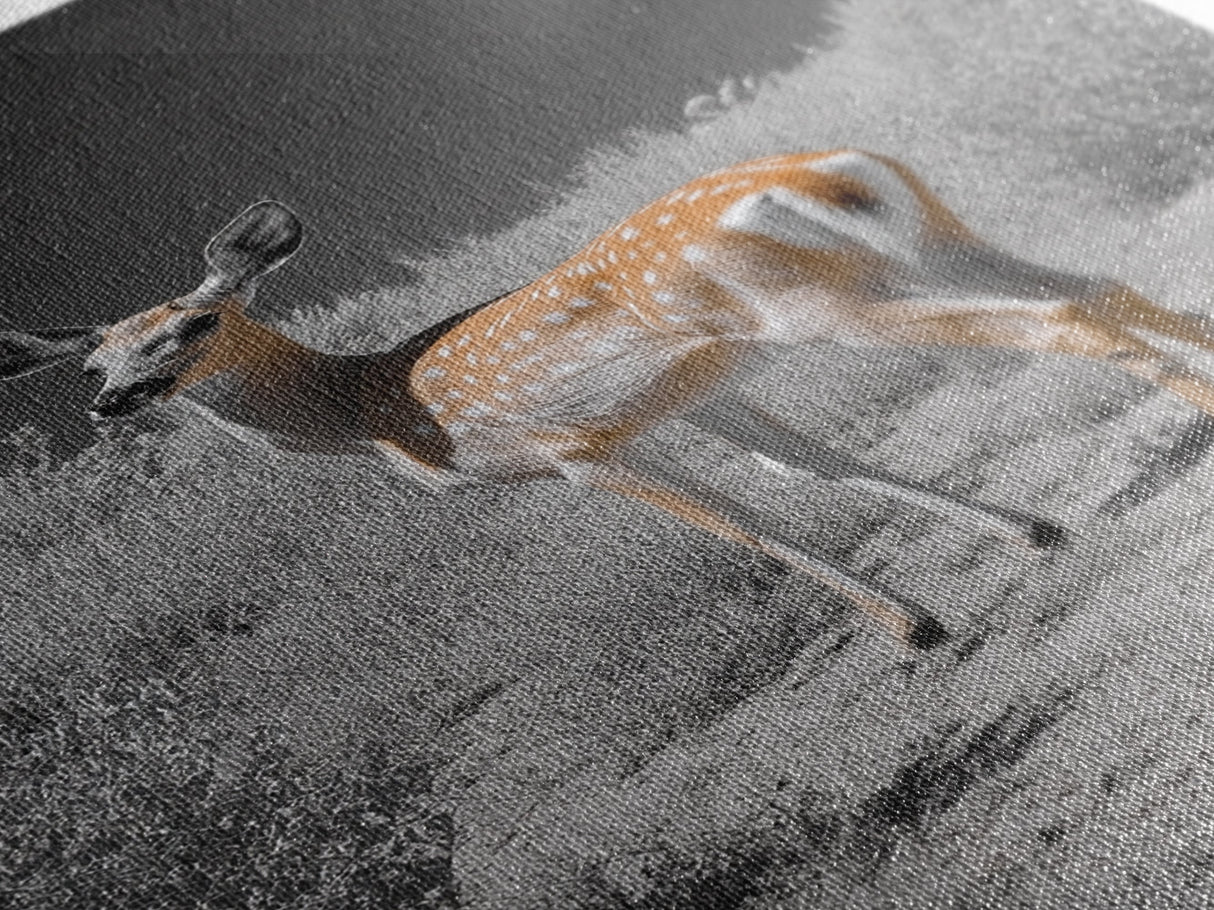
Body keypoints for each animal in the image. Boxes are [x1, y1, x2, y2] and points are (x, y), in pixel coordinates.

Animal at [6, 149, 1214, 649]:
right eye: (91, 365)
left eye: (192, 325)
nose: (114, 403)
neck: (384, 413)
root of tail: (836, 167)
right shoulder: (686, 392)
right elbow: (808, 465)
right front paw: (1030, 531)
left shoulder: (572, 445)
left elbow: (743, 527)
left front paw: (912, 626)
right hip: (923, 245)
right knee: (1098, 284)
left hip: (813, 302)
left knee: (1064, 317)